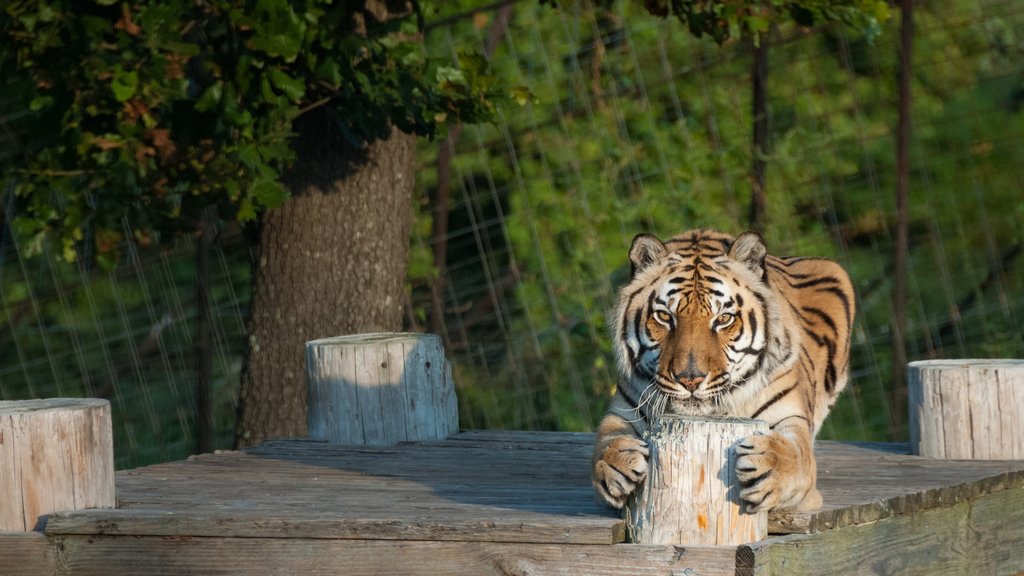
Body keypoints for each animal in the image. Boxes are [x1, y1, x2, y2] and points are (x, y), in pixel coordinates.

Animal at [593, 226, 856, 508]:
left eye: (723, 319)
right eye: (664, 316)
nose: (690, 379)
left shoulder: (791, 419)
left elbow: (796, 455)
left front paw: (768, 463)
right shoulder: (623, 409)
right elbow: (605, 438)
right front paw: (616, 462)